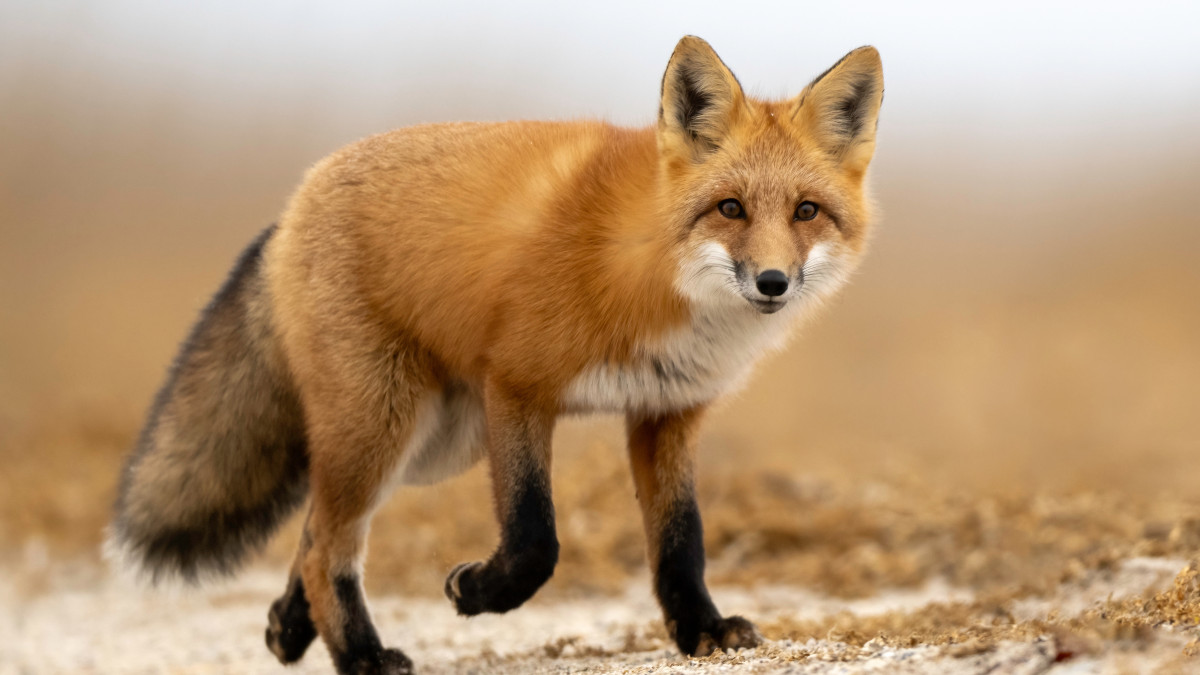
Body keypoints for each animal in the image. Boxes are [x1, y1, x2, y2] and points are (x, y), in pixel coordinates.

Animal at [108, 36, 883, 674]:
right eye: (730, 208)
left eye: (806, 212)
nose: (773, 281)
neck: (646, 268)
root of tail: (294, 203)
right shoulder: (517, 385)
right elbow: (536, 537)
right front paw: (480, 592)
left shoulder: (666, 413)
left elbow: (680, 542)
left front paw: (702, 631)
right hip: (387, 426)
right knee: (330, 543)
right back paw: (361, 655)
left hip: (434, 443)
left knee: (312, 529)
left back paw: (290, 626)